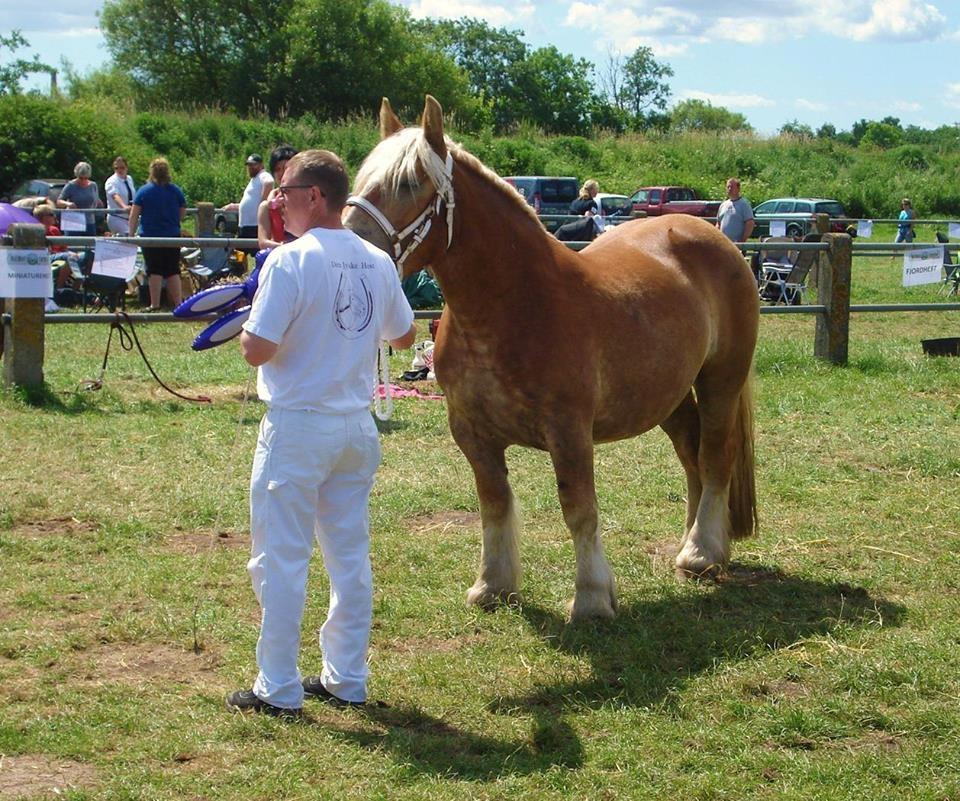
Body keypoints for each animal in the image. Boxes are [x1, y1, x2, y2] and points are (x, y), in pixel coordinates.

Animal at [344, 94, 756, 620]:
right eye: (362, 179)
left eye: (407, 184)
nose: (347, 248)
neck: (514, 305)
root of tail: (716, 238)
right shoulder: (472, 433)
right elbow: (493, 502)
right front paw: (493, 585)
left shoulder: (569, 431)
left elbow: (579, 509)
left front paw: (592, 596)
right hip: (668, 392)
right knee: (692, 456)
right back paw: (692, 546)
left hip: (721, 378)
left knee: (716, 454)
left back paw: (703, 553)